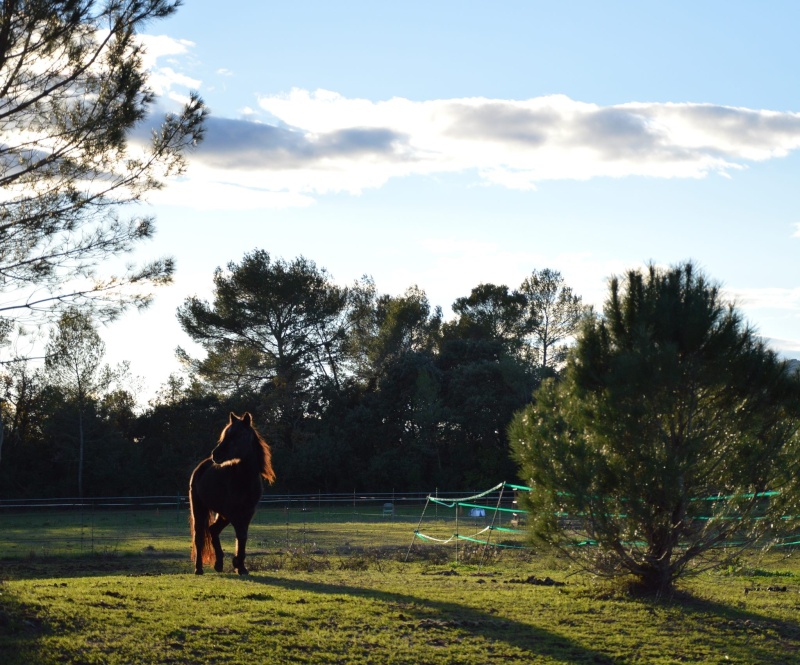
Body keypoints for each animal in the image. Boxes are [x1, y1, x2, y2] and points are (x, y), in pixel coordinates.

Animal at [189, 412, 276, 572]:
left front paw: (240, 565)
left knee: (213, 530)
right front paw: (238, 565)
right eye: (225, 435)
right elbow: (240, 534)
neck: (244, 480)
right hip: (200, 509)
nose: (215, 454)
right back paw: (199, 569)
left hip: (222, 514)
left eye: (238, 434)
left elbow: (243, 536)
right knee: (199, 537)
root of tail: (202, 467)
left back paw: (219, 564)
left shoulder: (247, 512)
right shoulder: (233, 513)